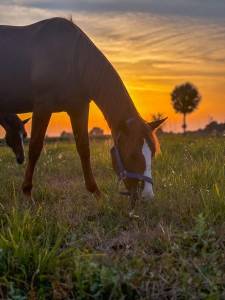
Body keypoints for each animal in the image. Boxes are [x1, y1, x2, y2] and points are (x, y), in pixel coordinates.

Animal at [0, 18, 165, 202]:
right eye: (132, 155)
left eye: (153, 153)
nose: (148, 196)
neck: (72, 59)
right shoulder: (43, 107)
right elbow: (35, 148)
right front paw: (27, 192)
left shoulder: (78, 108)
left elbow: (84, 148)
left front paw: (96, 192)